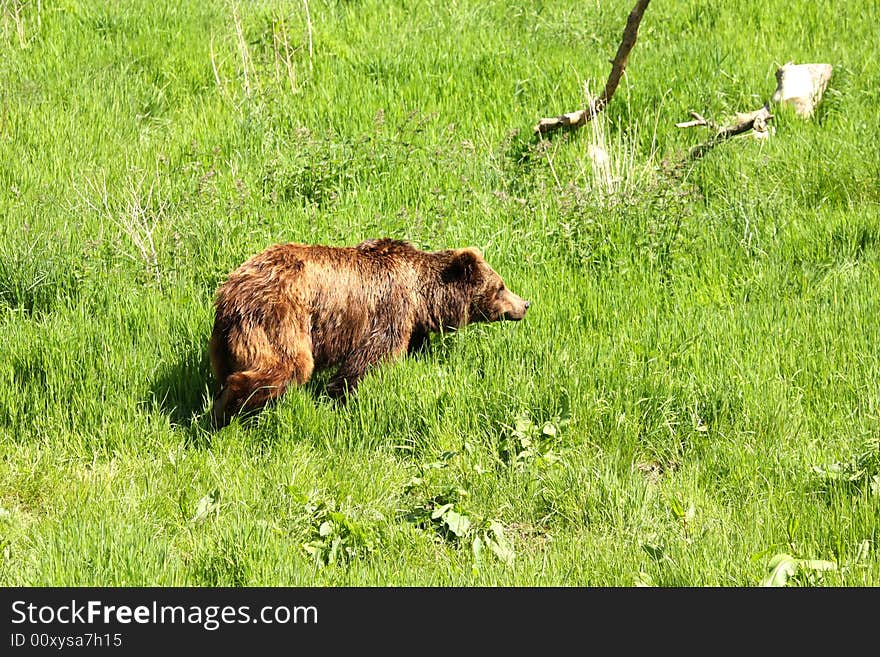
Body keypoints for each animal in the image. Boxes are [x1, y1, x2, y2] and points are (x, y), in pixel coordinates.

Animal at [208, 238, 528, 428]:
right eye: (500, 286)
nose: (525, 304)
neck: (422, 295)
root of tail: (231, 291)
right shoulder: (390, 307)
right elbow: (370, 357)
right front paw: (340, 396)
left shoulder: (411, 321)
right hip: (280, 316)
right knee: (286, 365)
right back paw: (226, 409)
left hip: (226, 338)